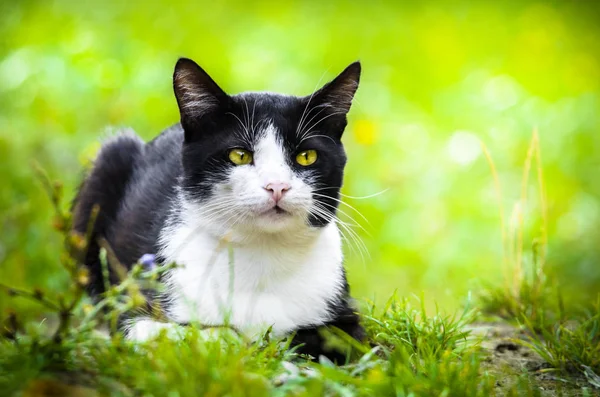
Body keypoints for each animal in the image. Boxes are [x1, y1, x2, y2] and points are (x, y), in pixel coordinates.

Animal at [74, 57, 366, 360]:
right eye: (239, 155)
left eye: (306, 156)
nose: (277, 186)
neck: (262, 255)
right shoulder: (137, 310)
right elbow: (184, 332)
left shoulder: (345, 315)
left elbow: (327, 338)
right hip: (109, 159)